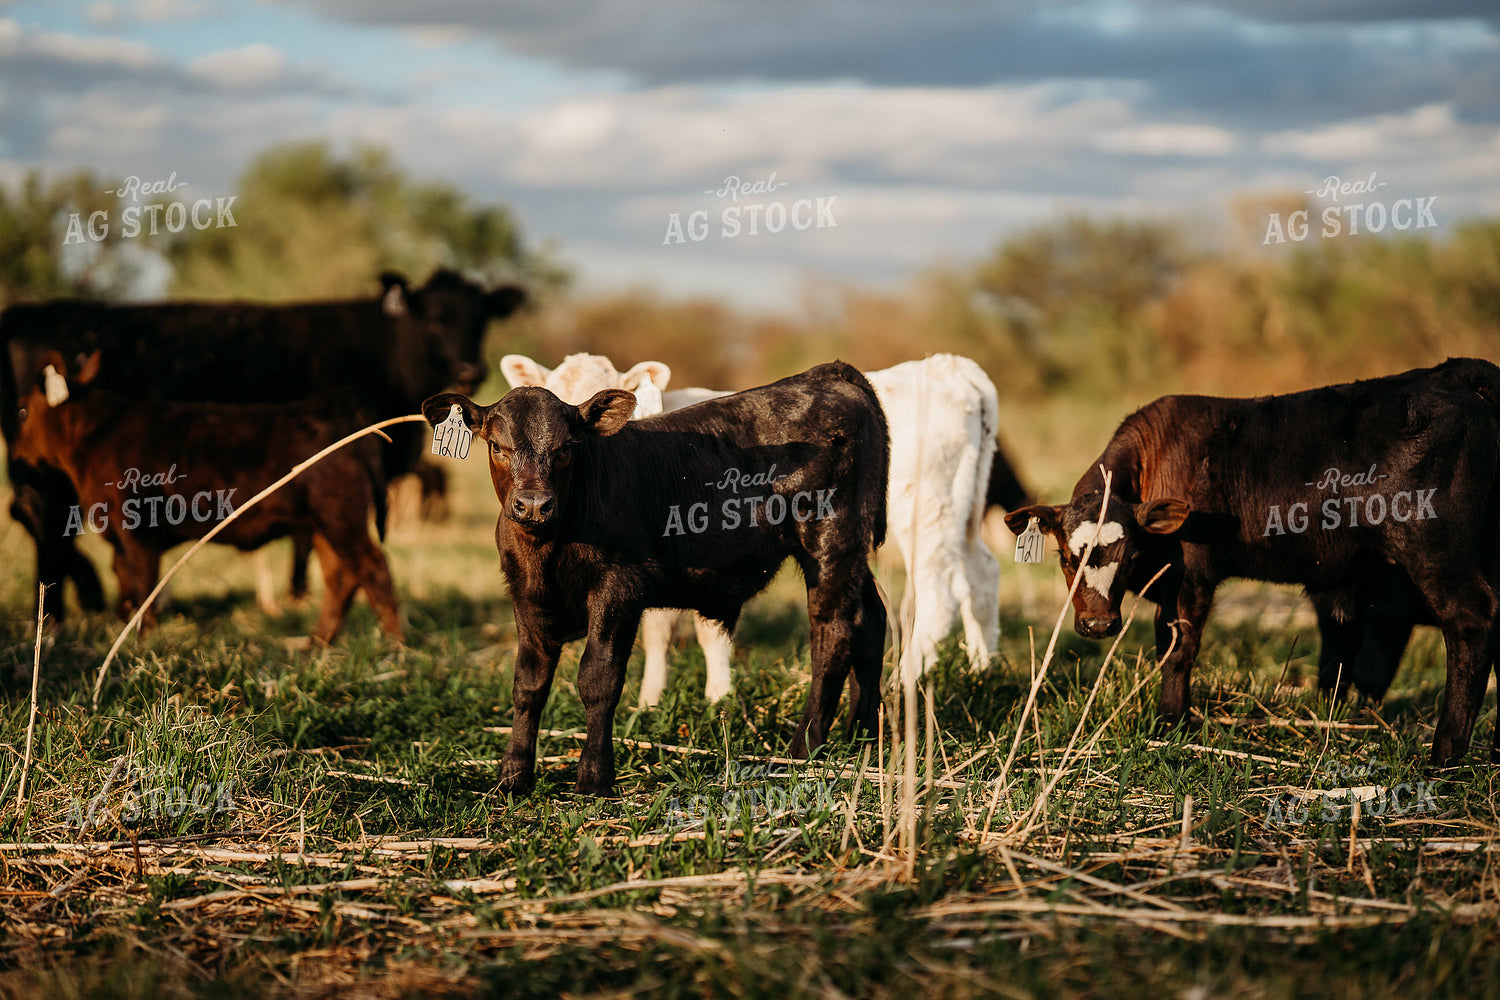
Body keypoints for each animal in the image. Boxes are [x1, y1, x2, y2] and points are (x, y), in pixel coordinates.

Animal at [10, 350, 402, 643]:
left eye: (22, 409)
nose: (15, 458)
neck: (98, 436)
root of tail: (333, 403)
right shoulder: (120, 540)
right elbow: (126, 586)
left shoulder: (137, 532)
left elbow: (143, 588)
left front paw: (141, 641)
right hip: (323, 525)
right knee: (341, 579)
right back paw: (314, 647)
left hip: (341, 519)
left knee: (373, 570)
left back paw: (394, 650)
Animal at [423, 360, 890, 794]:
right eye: (497, 446)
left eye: (567, 447)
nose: (534, 504)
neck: (548, 548)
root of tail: (825, 374)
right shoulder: (526, 594)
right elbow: (528, 684)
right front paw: (512, 776)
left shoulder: (618, 588)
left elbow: (599, 679)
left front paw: (594, 778)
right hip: (852, 554)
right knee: (871, 621)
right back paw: (863, 738)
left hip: (830, 542)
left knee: (833, 636)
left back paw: (802, 750)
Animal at [500, 351, 1031, 706]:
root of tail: (949, 366)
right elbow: (656, 629)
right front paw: (650, 701)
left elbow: (705, 628)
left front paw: (717, 699)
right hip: (965, 508)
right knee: (982, 576)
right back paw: (982, 669)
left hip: (924, 512)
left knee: (938, 594)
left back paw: (906, 679)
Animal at [1002, 358, 1500, 768]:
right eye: (1067, 558)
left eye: (1130, 556)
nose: (1099, 625)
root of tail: (1460, 373)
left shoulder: (1192, 575)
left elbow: (1178, 649)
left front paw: (1170, 725)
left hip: (1433, 549)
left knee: (1471, 621)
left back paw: (1444, 757)